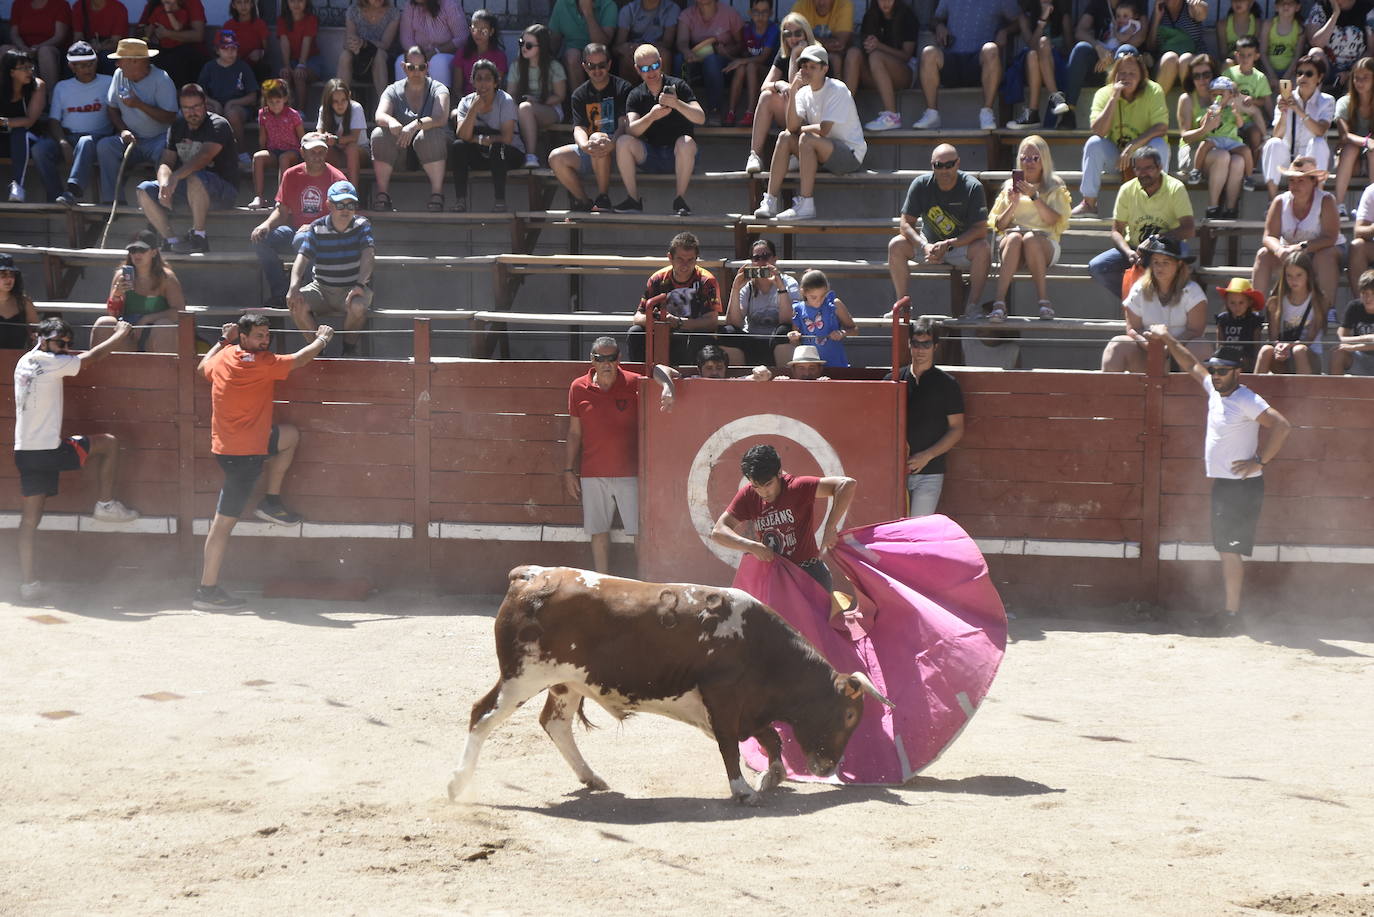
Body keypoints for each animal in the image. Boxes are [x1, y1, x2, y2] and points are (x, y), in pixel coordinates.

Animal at [445, 563, 884, 808]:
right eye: (849, 714)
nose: (829, 767)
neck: (761, 646)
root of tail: (531, 576)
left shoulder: (749, 708)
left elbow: (771, 739)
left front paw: (771, 777)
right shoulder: (724, 699)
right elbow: (731, 745)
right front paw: (742, 790)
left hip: (564, 681)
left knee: (555, 723)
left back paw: (591, 778)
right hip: (522, 676)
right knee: (482, 714)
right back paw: (457, 783)